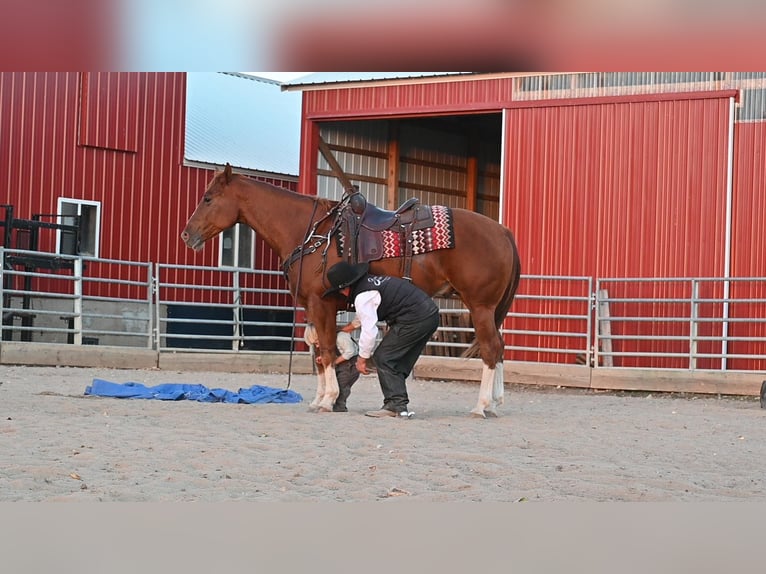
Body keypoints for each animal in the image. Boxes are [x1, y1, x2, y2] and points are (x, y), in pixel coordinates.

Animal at [183, 164, 524, 420]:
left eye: (208, 198)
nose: (187, 234)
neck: (313, 234)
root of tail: (503, 231)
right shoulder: (314, 307)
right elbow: (319, 351)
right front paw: (321, 398)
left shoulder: (322, 304)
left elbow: (326, 350)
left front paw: (327, 399)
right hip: (491, 310)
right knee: (500, 347)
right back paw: (495, 403)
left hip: (480, 306)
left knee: (491, 348)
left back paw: (481, 406)